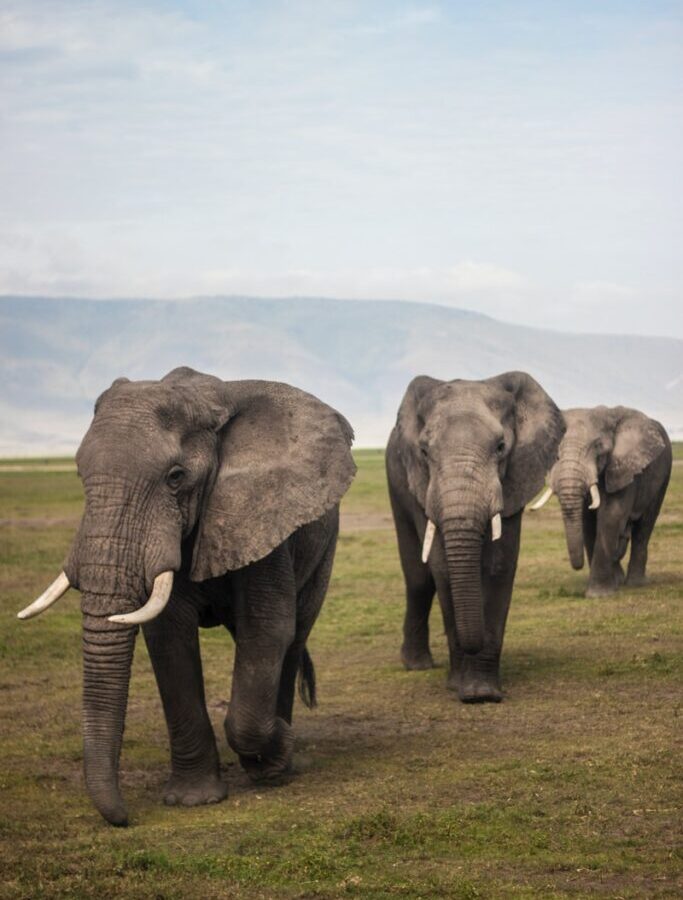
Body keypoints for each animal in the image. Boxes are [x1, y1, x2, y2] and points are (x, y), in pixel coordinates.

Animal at [18, 367, 356, 826]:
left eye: (175, 477)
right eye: (79, 474)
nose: (124, 817)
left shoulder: (260, 513)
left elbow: (267, 629)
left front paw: (276, 754)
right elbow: (168, 638)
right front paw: (193, 800)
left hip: (324, 546)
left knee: (293, 635)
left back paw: (279, 761)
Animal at [386, 371, 564, 703]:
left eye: (501, 447)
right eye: (424, 452)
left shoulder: (515, 478)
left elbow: (498, 566)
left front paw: (482, 693)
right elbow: (442, 568)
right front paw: (462, 688)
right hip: (396, 481)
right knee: (418, 578)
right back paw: (417, 665)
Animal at [531, 406, 672, 597]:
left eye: (598, 447)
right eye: (554, 452)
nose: (578, 566)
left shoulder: (623, 468)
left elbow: (611, 515)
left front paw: (598, 595)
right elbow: (588, 522)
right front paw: (609, 586)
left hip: (663, 475)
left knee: (645, 525)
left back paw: (635, 583)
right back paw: (619, 580)